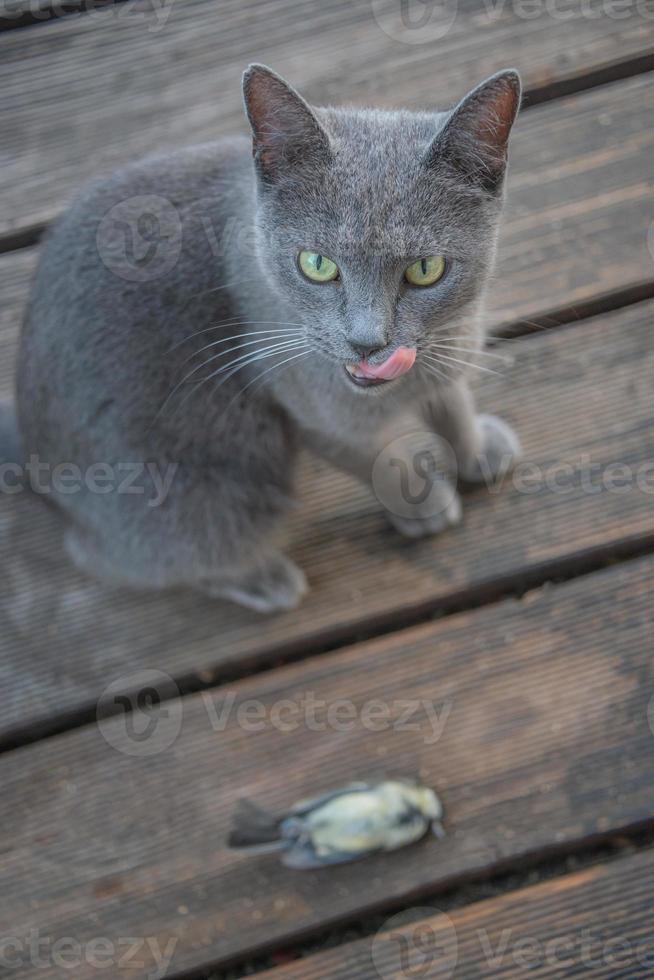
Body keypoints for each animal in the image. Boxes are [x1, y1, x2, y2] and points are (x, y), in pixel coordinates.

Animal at [14, 63, 524, 612]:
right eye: (316, 264)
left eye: (426, 269)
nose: (367, 342)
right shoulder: (310, 411)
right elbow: (381, 462)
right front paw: (422, 504)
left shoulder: (447, 353)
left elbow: (453, 404)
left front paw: (478, 452)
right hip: (207, 498)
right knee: (120, 556)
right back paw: (265, 580)